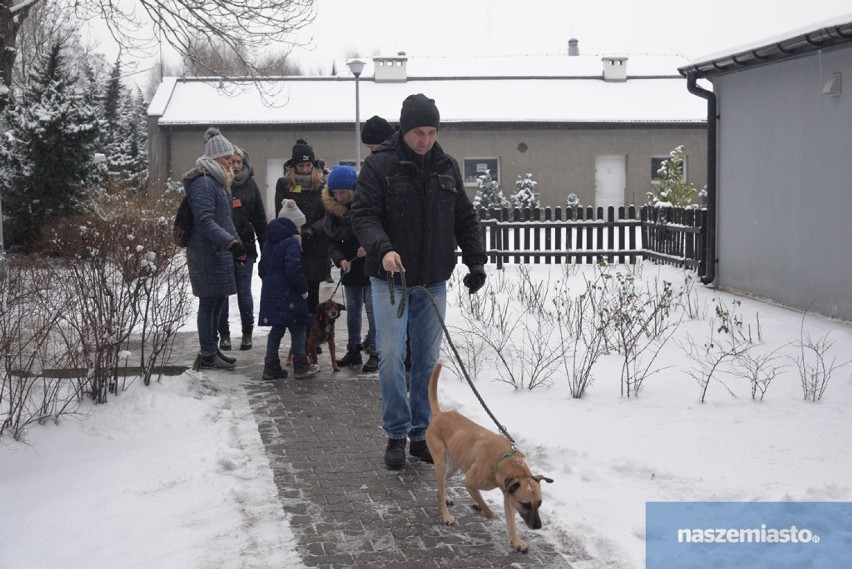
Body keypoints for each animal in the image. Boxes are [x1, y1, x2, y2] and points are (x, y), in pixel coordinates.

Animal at [424, 362, 552, 552]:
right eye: (526, 504)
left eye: (540, 503)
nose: (538, 526)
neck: (503, 460)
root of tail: (441, 414)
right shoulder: (469, 483)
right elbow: (490, 512)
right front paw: (481, 509)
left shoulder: (509, 494)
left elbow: (511, 521)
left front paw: (516, 540)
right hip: (440, 461)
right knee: (439, 486)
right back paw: (446, 515)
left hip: (454, 465)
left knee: (442, 484)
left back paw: (445, 496)